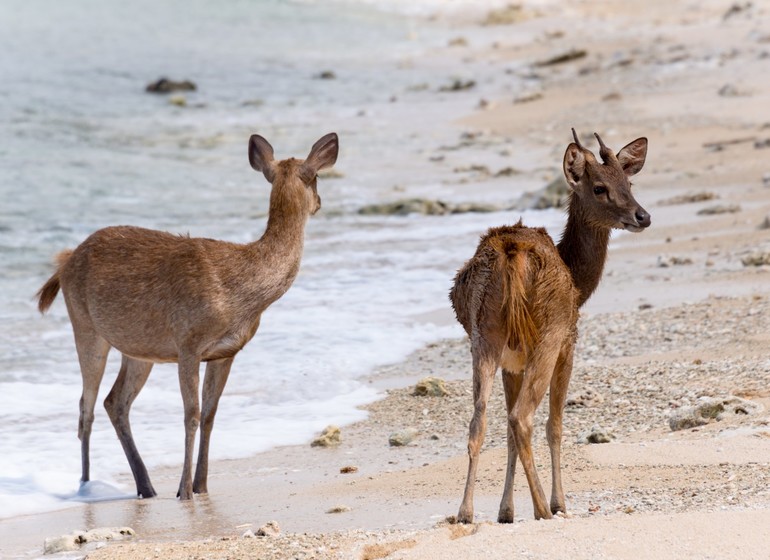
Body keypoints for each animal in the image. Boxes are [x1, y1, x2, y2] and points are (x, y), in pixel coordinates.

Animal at [36, 132, 336, 498]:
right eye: (316, 176)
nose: (320, 202)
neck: (243, 290)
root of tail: (63, 262)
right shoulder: (188, 343)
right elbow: (190, 414)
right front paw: (185, 490)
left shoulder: (225, 352)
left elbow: (209, 414)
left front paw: (202, 485)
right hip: (85, 326)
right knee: (85, 406)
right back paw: (85, 485)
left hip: (138, 348)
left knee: (115, 402)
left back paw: (145, 486)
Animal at [450, 130, 648, 520]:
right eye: (600, 187)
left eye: (629, 182)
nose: (643, 215)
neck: (579, 283)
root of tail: (512, 252)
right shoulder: (569, 344)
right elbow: (555, 426)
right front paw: (559, 502)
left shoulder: (512, 362)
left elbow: (506, 434)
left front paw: (505, 511)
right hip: (549, 333)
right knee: (523, 417)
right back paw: (544, 507)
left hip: (484, 336)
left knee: (481, 420)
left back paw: (465, 512)